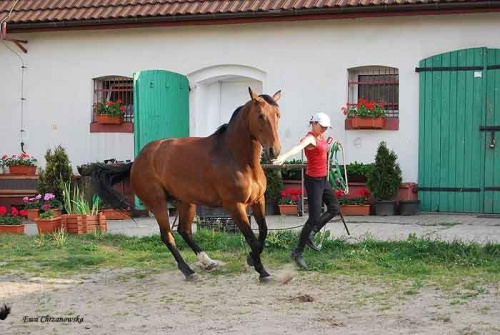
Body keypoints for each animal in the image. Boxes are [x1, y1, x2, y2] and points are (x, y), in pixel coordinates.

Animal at [93, 88, 282, 280]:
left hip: (185, 202)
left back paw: (208, 262)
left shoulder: (258, 200)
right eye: (260, 115)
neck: (237, 159)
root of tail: (137, 161)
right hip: (158, 203)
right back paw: (187, 270)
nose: (274, 151)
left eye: (277, 114)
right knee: (167, 236)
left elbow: (263, 231)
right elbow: (252, 239)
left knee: (184, 230)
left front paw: (251, 259)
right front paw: (261, 270)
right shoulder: (234, 205)